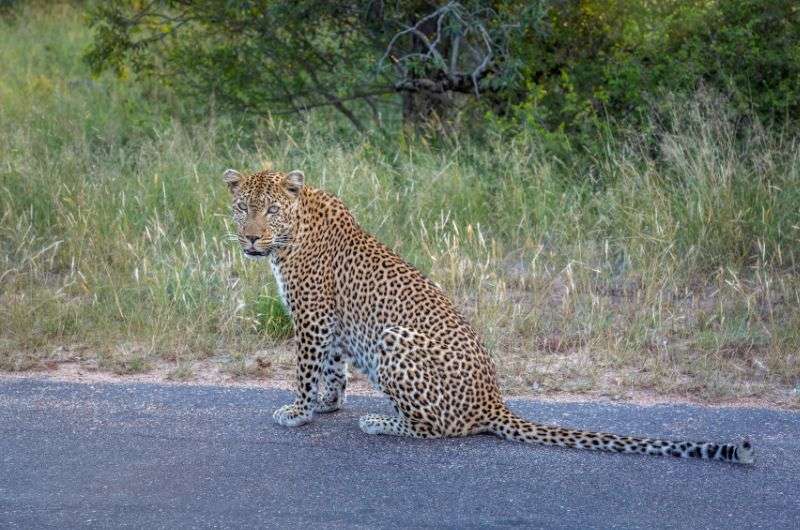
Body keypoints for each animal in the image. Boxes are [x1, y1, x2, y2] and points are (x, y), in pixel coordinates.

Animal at [222, 168, 752, 462]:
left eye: (271, 210)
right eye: (242, 208)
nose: (250, 237)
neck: (293, 230)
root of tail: (493, 403)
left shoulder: (312, 316)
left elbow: (307, 369)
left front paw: (298, 411)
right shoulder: (330, 322)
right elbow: (332, 368)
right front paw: (328, 404)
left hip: (394, 340)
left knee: (438, 427)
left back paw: (381, 421)